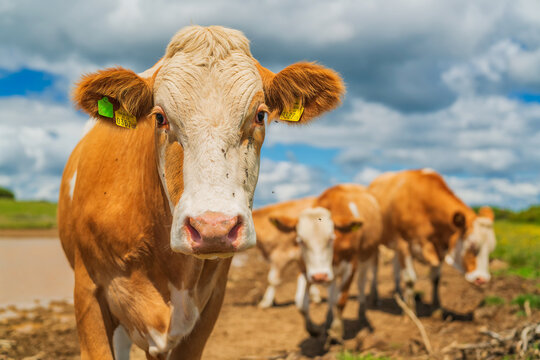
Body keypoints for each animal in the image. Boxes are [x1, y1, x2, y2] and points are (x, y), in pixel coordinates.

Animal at [268, 186, 382, 340]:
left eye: (331, 238)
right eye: (301, 240)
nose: (319, 277)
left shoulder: (351, 265)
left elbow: (340, 300)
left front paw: (336, 332)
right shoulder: (305, 268)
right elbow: (301, 303)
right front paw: (314, 330)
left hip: (368, 254)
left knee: (362, 281)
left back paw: (362, 313)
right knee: (331, 294)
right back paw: (328, 320)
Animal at [368, 169, 498, 312]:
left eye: (491, 248)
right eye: (472, 245)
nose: (483, 279)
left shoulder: (439, 247)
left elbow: (436, 278)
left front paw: (437, 308)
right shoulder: (404, 244)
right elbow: (409, 279)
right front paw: (410, 311)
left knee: (395, 269)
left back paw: (399, 295)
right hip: (377, 244)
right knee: (374, 270)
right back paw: (375, 298)